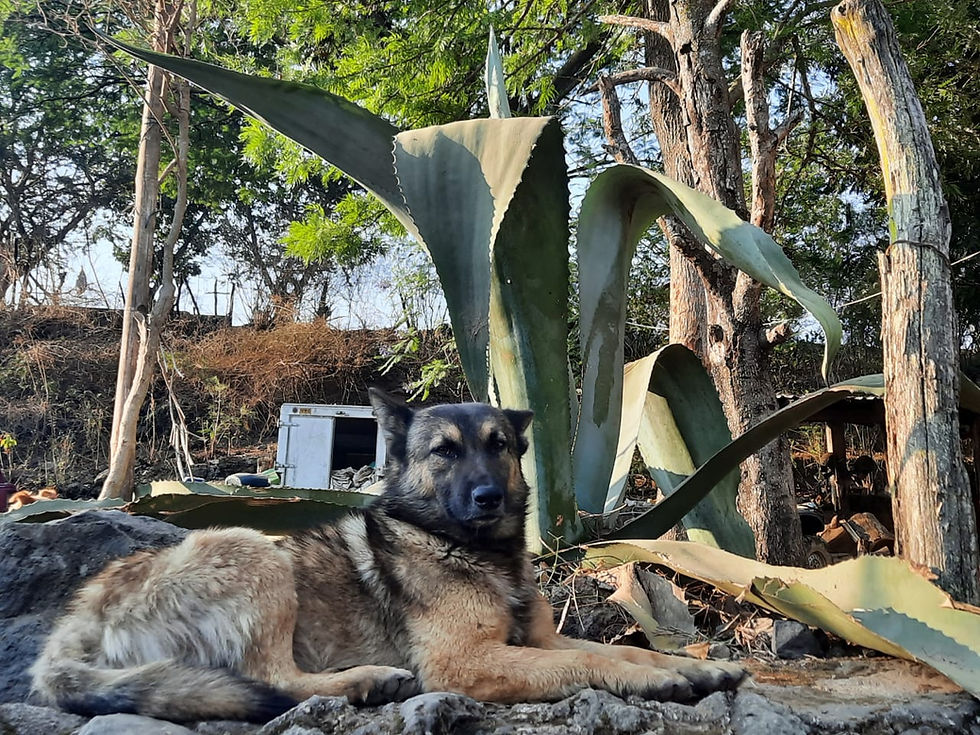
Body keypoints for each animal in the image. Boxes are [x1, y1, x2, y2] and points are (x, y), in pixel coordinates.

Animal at [31, 389, 744, 722]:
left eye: (499, 445)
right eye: (445, 452)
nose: (488, 498)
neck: (472, 551)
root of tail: (78, 622)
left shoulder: (538, 639)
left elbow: (627, 650)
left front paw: (696, 668)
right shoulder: (466, 663)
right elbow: (588, 665)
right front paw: (656, 681)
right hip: (253, 550)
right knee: (271, 680)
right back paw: (367, 681)